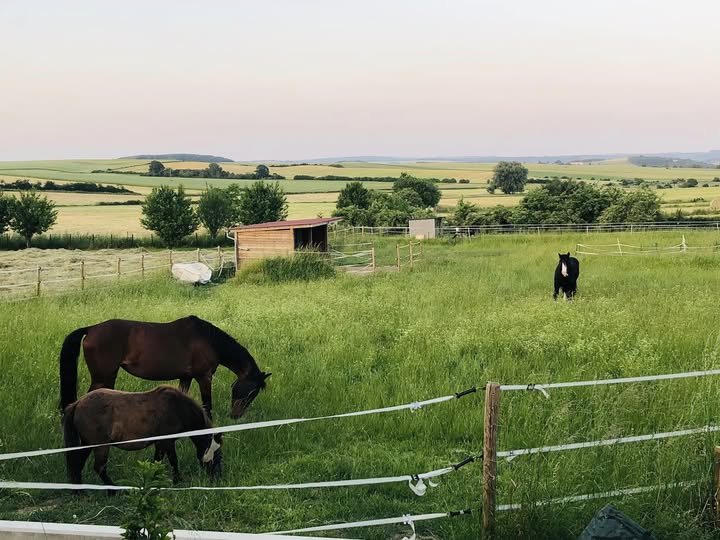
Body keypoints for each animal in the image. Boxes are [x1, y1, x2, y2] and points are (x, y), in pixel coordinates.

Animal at [59, 315, 270, 419]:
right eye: (251, 392)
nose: (236, 416)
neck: (209, 340)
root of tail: (91, 329)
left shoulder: (185, 377)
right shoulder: (204, 377)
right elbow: (207, 405)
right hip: (103, 377)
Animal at [63, 386, 222, 490]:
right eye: (216, 452)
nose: (215, 477)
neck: (177, 408)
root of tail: (77, 403)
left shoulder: (160, 443)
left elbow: (157, 461)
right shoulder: (168, 442)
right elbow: (173, 460)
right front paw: (177, 480)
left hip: (87, 444)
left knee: (78, 463)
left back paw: (79, 490)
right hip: (100, 447)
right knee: (99, 467)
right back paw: (113, 490)